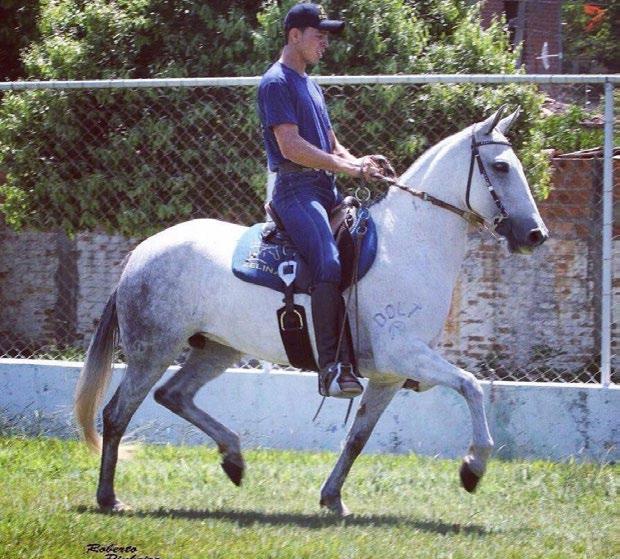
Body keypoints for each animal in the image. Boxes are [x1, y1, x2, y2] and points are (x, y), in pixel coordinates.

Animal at [74, 107, 548, 520]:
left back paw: (234, 459)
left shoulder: (389, 376)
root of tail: (141, 253)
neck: (409, 244)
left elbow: (358, 438)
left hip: (216, 350)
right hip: (153, 349)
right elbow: (471, 386)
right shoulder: (405, 354)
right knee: (117, 414)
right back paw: (109, 498)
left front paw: (332, 498)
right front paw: (473, 468)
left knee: (173, 396)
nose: (535, 235)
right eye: (501, 167)